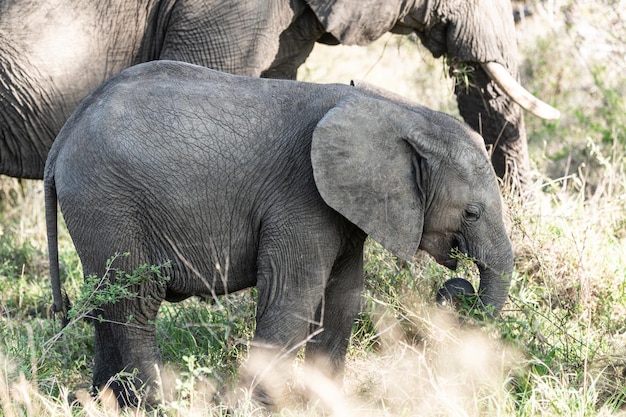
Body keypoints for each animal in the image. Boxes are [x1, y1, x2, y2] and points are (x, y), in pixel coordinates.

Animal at [45, 61, 512, 406]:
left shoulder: (341, 209)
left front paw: (323, 403)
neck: (394, 111)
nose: (457, 288)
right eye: (471, 213)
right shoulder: (301, 196)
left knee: (106, 302)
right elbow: (294, 297)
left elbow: (342, 299)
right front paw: (251, 408)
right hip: (108, 200)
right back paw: (155, 405)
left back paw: (104, 403)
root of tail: (63, 136)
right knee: (136, 302)